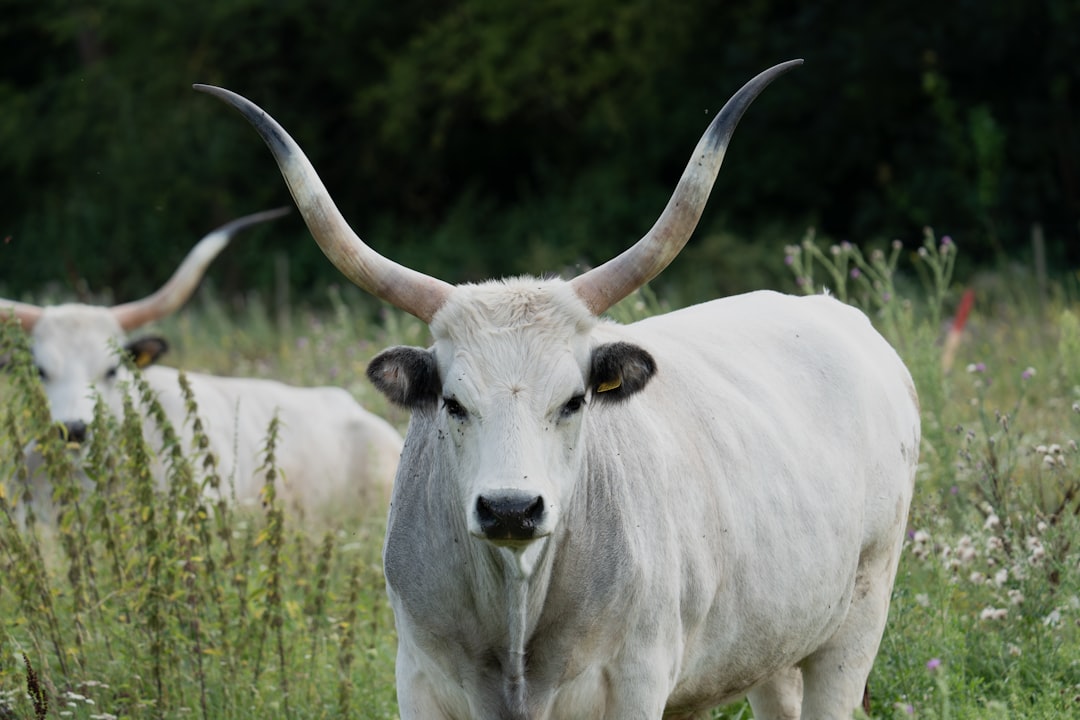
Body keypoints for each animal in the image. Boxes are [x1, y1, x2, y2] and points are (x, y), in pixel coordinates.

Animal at [196, 59, 921, 719]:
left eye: (574, 401)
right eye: (453, 403)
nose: (511, 509)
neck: (517, 609)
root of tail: (838, 313)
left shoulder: (636, 683)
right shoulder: (420, 681)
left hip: (856, 624)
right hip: (771, 647)